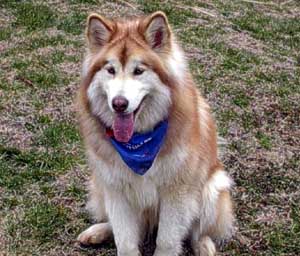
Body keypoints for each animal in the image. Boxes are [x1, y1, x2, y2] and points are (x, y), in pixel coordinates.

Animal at [75, 10, 234, 256]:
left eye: (139, 71)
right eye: (110, 70)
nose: (119, 104)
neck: (139, 144)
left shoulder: (176, 192)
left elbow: (167, 239)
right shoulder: (115, 188)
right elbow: (125, 239)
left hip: (212, 188)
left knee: (196, 229)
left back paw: (203, 244)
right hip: (98, 185)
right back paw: (98, 231)